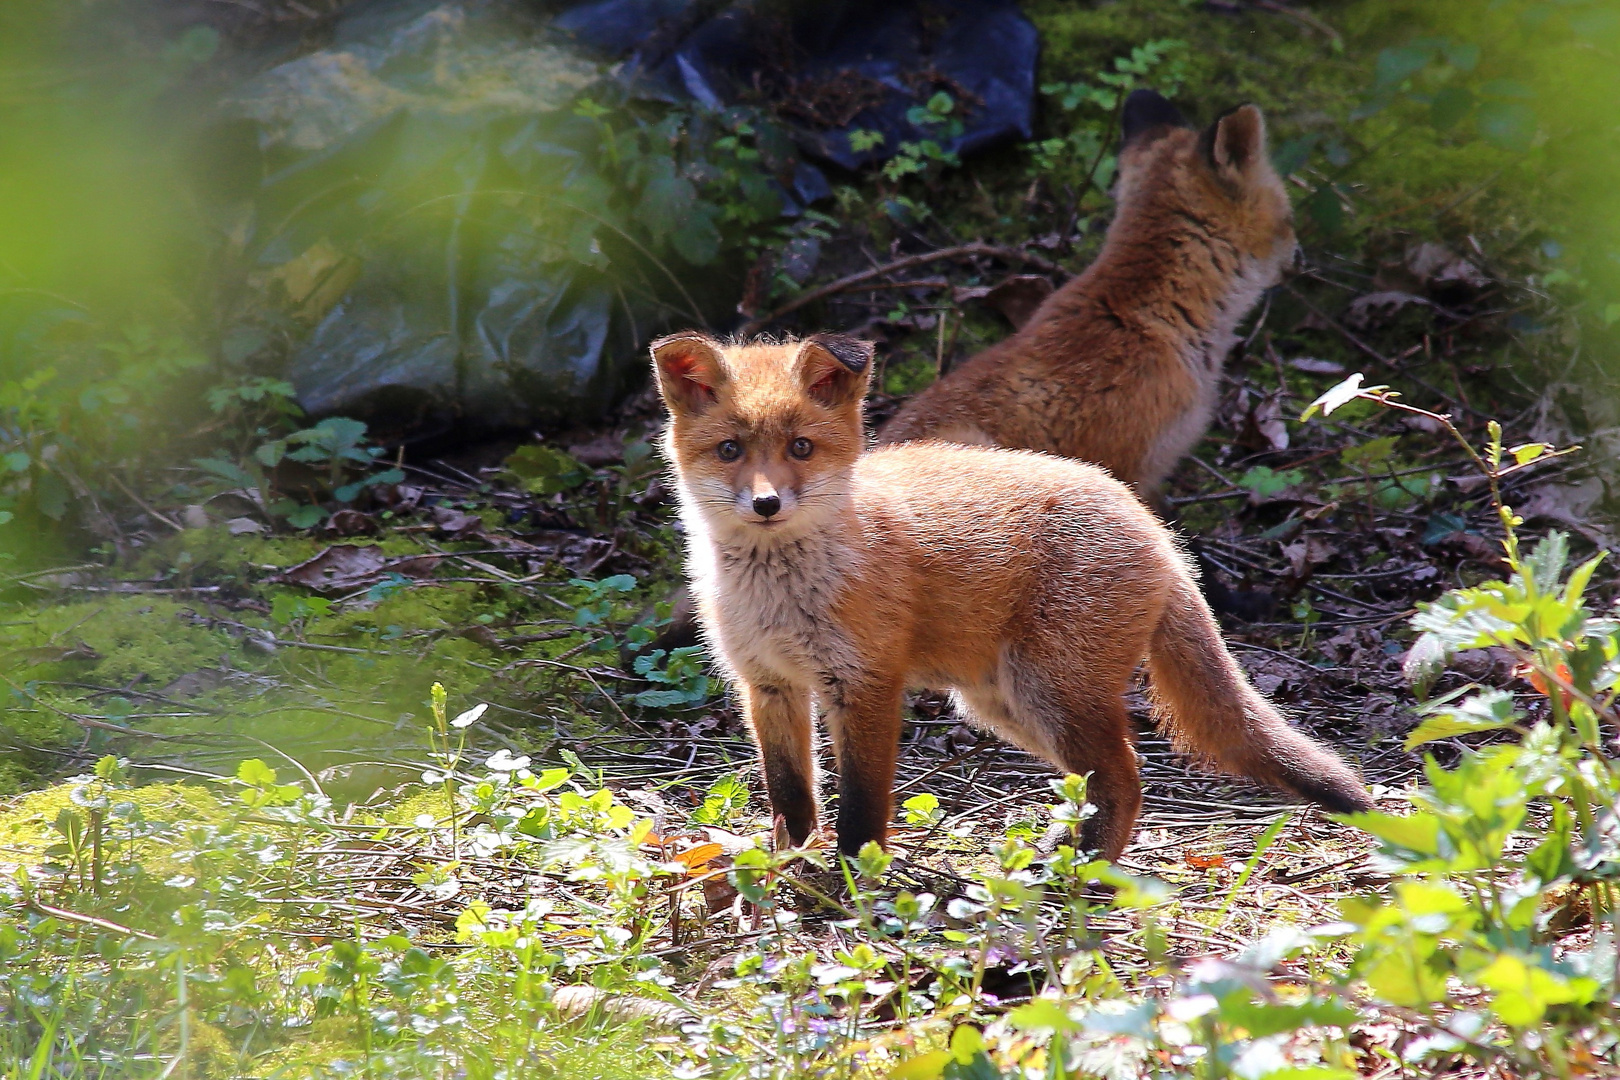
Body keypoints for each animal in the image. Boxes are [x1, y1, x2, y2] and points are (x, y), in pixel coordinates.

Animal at [644, 330, 1367, 861]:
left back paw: (1083, 877)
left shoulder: (867, 683)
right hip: (1003, 703)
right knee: (1106, 777)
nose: (766, 504)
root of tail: (1153, 526)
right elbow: (791, 795)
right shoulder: (767, 684)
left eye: (800, 447)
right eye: (731, 450)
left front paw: (852, 886)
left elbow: (861, 809)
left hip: (1051, 690)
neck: (780, 595)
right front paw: (787, 866)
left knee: (1126, 777)